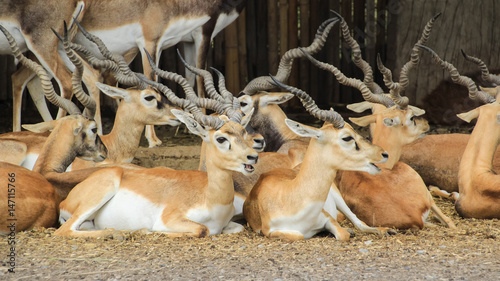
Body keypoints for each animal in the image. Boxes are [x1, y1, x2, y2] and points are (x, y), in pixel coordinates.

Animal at [243, 79, 394, 241]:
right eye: (347, 137)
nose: (384, 153)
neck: (290, 200)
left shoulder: (327, 217)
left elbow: (344, 234)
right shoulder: (269, 231)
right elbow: (299, 235)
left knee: (359, 223)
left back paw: (386, 230)